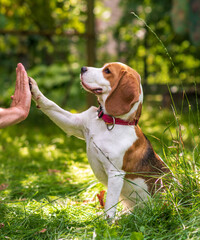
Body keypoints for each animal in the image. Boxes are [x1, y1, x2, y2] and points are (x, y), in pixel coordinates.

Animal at [29, 62, 170, 218]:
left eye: (107, 71)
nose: (82, 68)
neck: (110, 122)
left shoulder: (115, 173)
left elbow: (109, 206)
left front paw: (105, 223)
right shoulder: (73, 123)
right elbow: (50, 105)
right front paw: (33, 88)